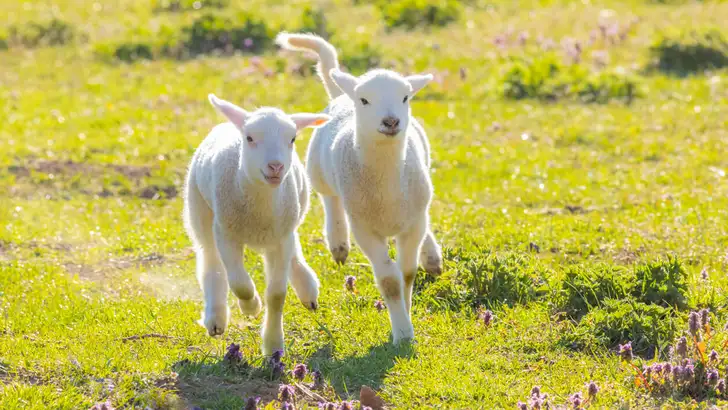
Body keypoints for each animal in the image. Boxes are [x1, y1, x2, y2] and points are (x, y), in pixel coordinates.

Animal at [183, 93, 330, 355]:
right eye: (250, 138)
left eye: (292, 139)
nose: (276, 167)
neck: (260, 207)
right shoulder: (226, 233)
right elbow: (240, 284)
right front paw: (251, 307)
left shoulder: (281, 237)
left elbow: (277, 294)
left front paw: (273, 345)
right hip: (200, 211)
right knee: (210, 261)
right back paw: (216, 318)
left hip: (291, 218)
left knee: (294, 249)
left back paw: (307, 288)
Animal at [275, 32, 443, 343]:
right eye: (365, 100)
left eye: (405, 97)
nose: (391, 121)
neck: (387, 184)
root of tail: (342, 94)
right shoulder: (365, 229)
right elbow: (389, 280)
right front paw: (402, 333)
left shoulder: (412, 222)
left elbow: (407, 273)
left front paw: (406, 312)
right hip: (319, 172)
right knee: (330, 198)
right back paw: (338, 242)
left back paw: (432, 256)